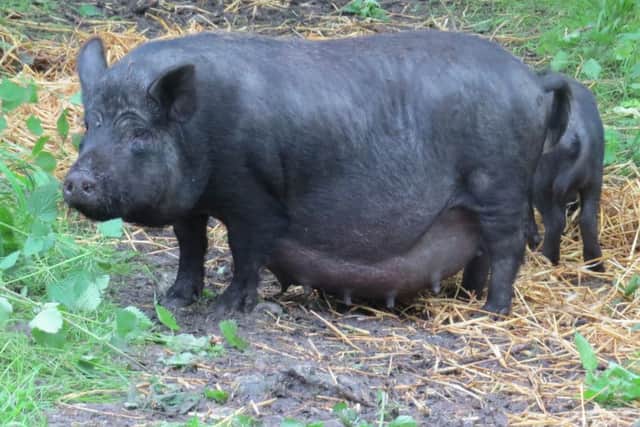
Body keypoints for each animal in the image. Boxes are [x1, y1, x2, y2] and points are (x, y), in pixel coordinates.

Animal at [63, 30, 571, 316]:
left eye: (138, 133)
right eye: (90, 125)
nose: (76, 181)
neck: (201, 129)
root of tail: (533, 79)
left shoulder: (254, 198)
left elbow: (245, 251)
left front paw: (223, 312)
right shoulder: (192, 203)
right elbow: (191, 246)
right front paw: (172, 301)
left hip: (499, 182)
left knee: (506, 247)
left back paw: (491, 312)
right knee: (482, 250)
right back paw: (466, 299)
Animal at [527, 77, 605, 271]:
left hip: (542, 185)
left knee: (555, 222)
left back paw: (547, 260)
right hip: (594, 180)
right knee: (588, 220)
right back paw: (595, 265)